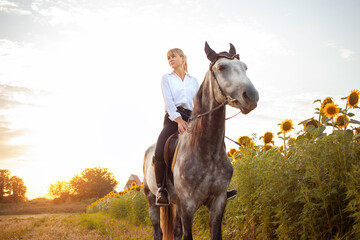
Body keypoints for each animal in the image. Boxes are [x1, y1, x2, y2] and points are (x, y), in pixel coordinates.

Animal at [143, 42, 258, 239]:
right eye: (222, 67)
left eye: (245, 67)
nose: (251, 96)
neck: (206, 150)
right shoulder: (188, 205)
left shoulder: (219, 202)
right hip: (152, 199)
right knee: (157, 230)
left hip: (176, 203)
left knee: (175, 230)